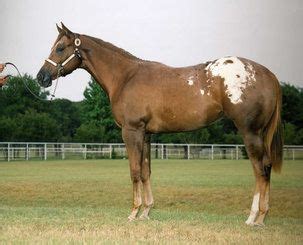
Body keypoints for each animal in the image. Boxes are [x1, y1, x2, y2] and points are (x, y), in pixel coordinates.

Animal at [37, 23, 282, 226]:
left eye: (60, 48)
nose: (41, 77)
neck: (126, 77)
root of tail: (268, 74)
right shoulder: (146, 134)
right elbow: (146, 171)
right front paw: (146, 212)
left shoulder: (132, 131)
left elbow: (135, 171)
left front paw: (133, 212)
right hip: (259, 133)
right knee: (267, 167)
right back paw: (262, 217)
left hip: (250, 132)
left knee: (260, 170)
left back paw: (254, 217)